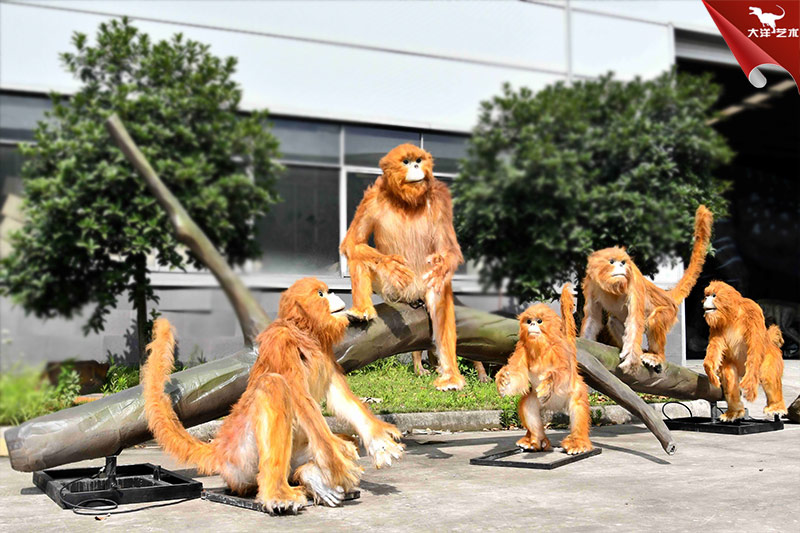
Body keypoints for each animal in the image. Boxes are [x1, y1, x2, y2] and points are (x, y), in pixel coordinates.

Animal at [142, 277, 404, 515]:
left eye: (328, 291)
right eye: (321, 294)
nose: (334, 295)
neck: (303, 334)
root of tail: (220, 448)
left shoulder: (325, 352)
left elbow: (339, 397)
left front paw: (378, 441)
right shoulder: (281, 343)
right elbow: (300, 398)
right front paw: (337, 461)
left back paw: (309, 476)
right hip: (241, 463)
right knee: (273, 385)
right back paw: (278, 494)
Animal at [341, 143, 466, 391]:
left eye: (418, 160)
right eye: (406, 162)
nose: (416, 167)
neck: (406, 201)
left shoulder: (439, 198)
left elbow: (448, 251)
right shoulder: (372, 198)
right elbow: (353, 243)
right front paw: (391, 264)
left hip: (423, 287)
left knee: (439, 293)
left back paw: (450, 376)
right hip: (391, 289)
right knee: (358, 257)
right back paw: (362, 312)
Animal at [496, 285, 593, 455]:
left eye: (539, 321)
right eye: (529, 321)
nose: (532, 325)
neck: (541, 347)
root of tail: (555, 406)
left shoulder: (560, 350)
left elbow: (563, 374)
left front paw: (549, 382)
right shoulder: (522, 348)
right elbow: (516, 374)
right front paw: (502, 379)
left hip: (575, 394)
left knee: (578, 408)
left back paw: (577, 444)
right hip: (536, 400)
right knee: (527, 406)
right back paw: (535, 442)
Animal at [580, 205, 713, 373]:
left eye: (623, 262)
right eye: (612, 261)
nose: (621, 267)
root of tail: (666, 295)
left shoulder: (633, 281)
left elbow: (634, 321)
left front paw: (631, 362)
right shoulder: (590, 284)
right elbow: (592, 319)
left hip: (670, 310)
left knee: (655, 319)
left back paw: (656, 356)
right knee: (613, 320)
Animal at [702, 280, 787, 422]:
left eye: (713, 295)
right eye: (706, 295)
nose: (705, 300)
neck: (732, 315)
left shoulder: (752, 310)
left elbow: (755, 343)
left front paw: (750, 384)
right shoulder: (716, 326)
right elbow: (715, 347)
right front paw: (710, 371)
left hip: (769, 355)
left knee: (769, 374)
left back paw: (776, 408)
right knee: (729, 376)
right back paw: (734, 412)